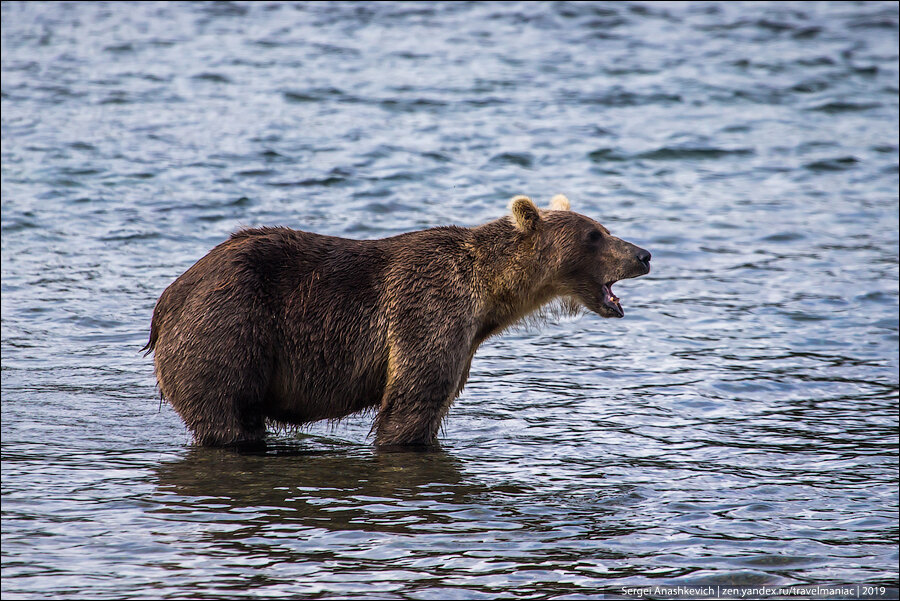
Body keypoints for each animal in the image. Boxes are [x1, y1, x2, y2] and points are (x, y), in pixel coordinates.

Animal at [141, 195, 652, 448]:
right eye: (595, 235)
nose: (644, 254)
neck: (489, 296)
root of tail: (167, 300)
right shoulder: (429, 310)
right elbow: (412, 400)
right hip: (230, 326)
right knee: (227, 414)